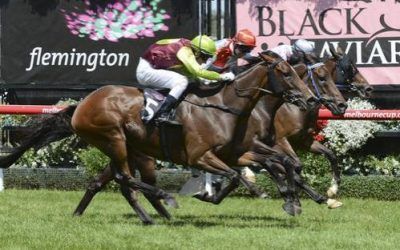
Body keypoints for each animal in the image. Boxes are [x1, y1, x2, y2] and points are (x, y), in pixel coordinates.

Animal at [0, 53, 316, 225]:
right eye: (286, 72)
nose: (311, 100)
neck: (223, 106)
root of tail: (81, 104)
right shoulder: (201, 156)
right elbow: (238, 176)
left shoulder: (236, 152)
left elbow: (278, 162)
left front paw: (292, 199)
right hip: (114, 139)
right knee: (125, 179)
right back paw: (165, 200)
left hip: (133, 150)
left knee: (118, 182)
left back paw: (151, 214)